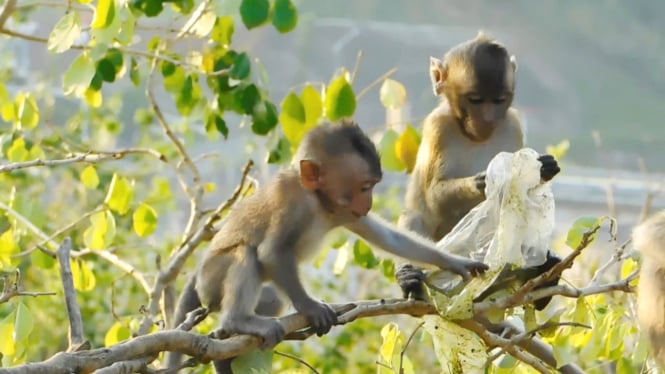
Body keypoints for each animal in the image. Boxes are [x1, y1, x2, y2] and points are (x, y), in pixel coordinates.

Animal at [166, 119, 488, 372]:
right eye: (364, 187)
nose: (368, 202)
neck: (320, 203)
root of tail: (198, 275)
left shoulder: (345, 212)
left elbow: (388, 237)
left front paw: (457, 262)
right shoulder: (294, 203)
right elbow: (272, 253)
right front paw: (311, 308)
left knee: (271, 297)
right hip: (212, 279)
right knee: (245, 253)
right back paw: (238, 321)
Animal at [394, 32, 560, 310]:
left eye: (499, 100)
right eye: (476, 100)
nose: (489, 119)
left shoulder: (513, 123)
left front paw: (544, 169)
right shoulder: (438, 126)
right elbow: (434, 197)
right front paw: (482, 182)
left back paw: (544, 277)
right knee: (412, 218)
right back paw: (412, 280)